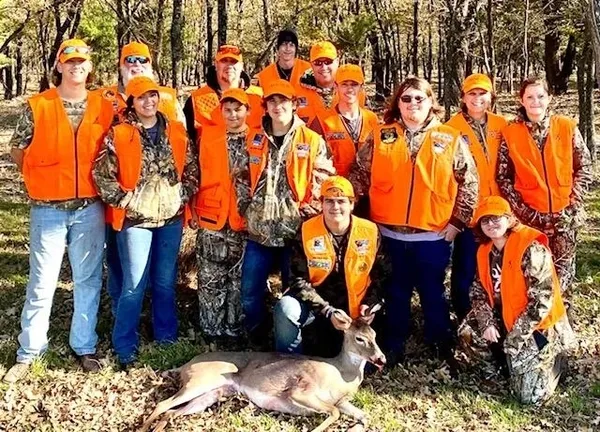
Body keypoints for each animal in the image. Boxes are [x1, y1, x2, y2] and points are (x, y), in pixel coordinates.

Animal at [139, 306, 384, 430]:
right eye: (360, 338)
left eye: (374, 335)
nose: (381, 359)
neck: (341, 374)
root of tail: (186, 364)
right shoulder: (301, 390)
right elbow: (333, 412)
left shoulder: (341, 401)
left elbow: (364, 415)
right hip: (202, 380)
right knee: (162, 404)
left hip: (211, 394)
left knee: (171, 412)